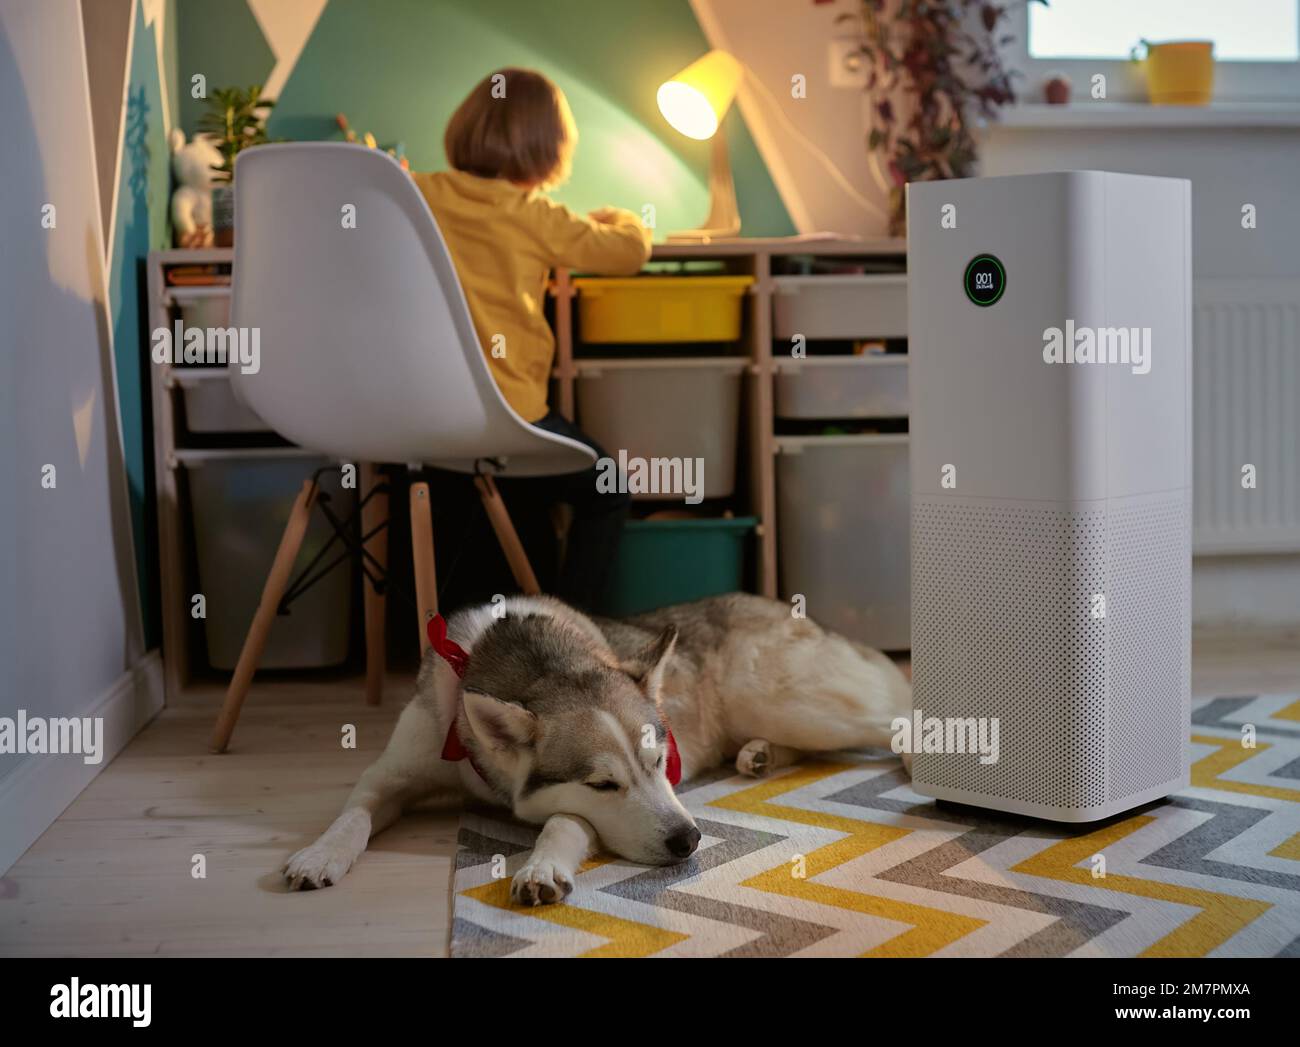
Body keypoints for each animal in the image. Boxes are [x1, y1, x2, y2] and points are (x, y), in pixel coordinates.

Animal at [284, 593, 909, 905]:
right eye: (604, 784)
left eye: (661, 763)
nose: (689, 840)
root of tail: (781, 602)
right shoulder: (390, 773)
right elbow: (354, 812)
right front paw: (320, 854)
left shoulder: (570, 804)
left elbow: (563, 824)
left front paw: (540, 867)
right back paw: (760, 755)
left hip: (786, 702)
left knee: (900, 711)